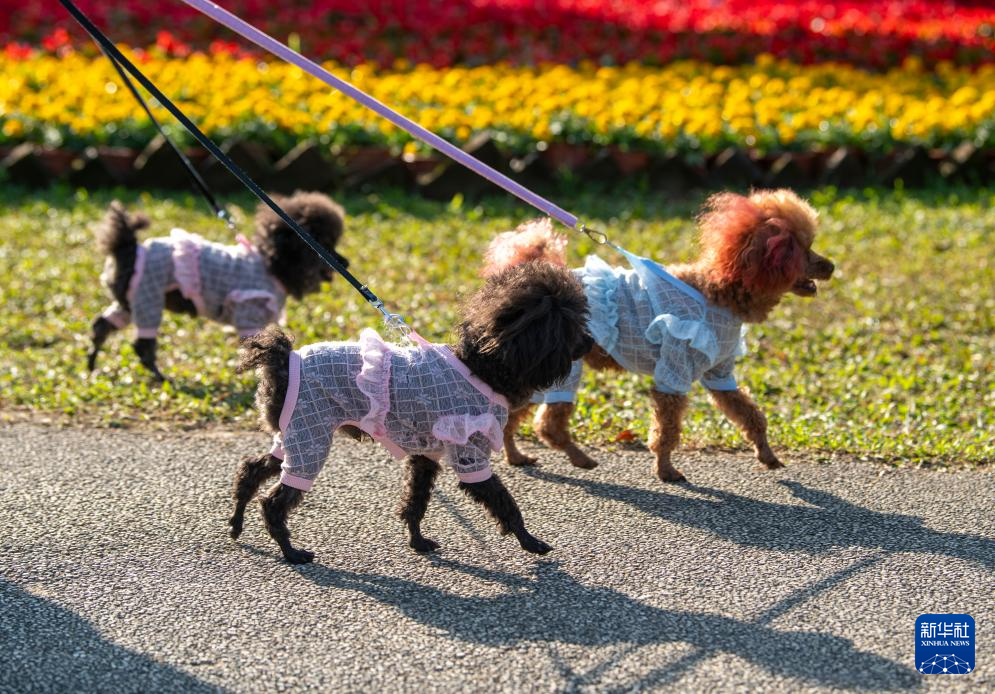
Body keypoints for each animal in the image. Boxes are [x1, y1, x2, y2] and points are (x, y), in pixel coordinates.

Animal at [87, 191, 348, 381]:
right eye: (324, 245)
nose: (345, 262)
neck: (273, 266)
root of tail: (127, 247)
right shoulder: (248, 314)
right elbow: (255, 349)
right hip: (147, 298)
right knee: (142, 345)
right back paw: (160, 377)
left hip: (129, 301)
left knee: (102, 326)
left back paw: (91, 365)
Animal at [228, 260, 593, 563]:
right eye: (568, 326)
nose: (590, 343)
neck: (481, 368)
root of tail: (282, 360)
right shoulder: (469, 452)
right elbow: (503, 501)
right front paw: (530, 541)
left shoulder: (426, 455)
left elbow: (415, 502)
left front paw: (417, 542)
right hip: (310, 434)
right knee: (275, 501)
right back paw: (291, 552)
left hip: (293, 432)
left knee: (251, 470)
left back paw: (236, 524)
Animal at [492, 189, 835, 482]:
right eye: (802, 251)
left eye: (809, 246)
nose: (830, 266)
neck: (719, 292)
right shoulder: (675, 367)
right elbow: (667, 429)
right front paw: (666, 470)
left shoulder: (719, 372)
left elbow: (750, 414)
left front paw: (767, 455)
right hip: (563, 364)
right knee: (549, 424)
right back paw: (579, 458)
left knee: (513, 414)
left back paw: (516, 455)